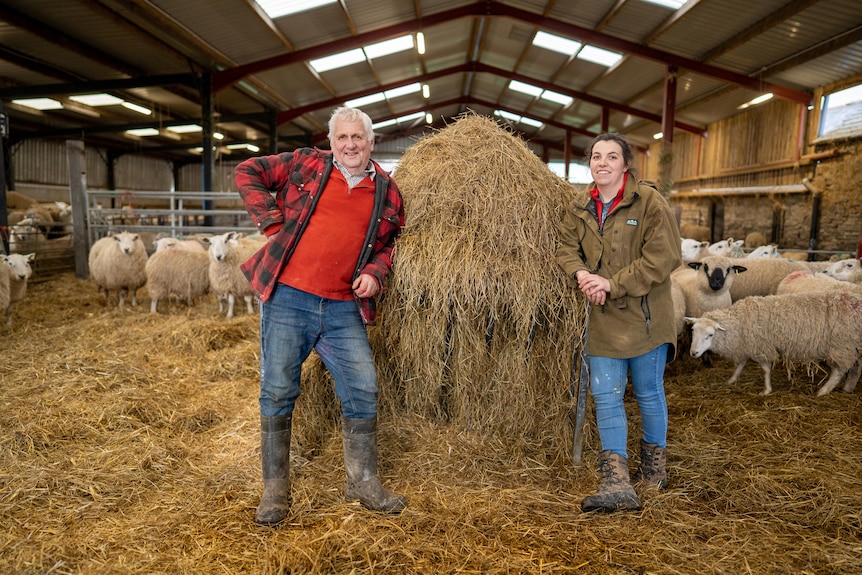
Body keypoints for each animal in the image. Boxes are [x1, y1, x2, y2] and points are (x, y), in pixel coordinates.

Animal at [688, 292, 862, 396]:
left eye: (710, 335)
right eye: (693, 331)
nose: (693, 353)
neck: (740, 321)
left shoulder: (761, 347)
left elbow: (765, 369)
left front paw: (766, 390)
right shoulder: (747, 345)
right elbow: (741, 364)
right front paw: (732, 380)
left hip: (842, 346)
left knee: (839, 371)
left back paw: (823, 391)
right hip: (853, 346)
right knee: (855, 368)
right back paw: (848, 388)